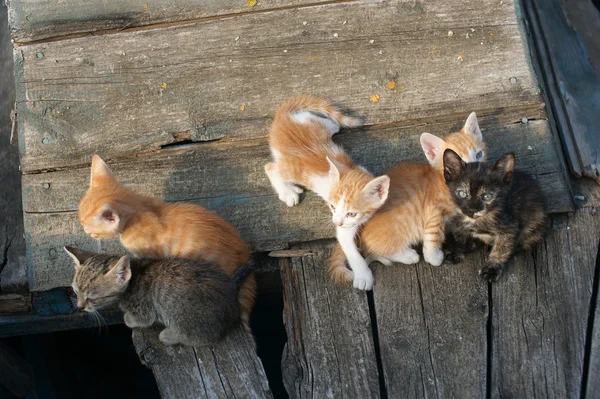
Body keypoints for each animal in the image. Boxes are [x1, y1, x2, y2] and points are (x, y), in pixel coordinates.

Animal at [65, 247, 253, 346]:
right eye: (76, 292)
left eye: (92, 299)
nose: (80, 306)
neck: (133, 277)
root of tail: (231, 291)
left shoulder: (144, 311)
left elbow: (137, 320)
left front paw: (127, 318)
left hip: (181, 314)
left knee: (199, 337)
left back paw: (169, 335)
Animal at [266, 97, 390, 290]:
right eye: (332, 207)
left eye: (352, 213)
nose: (337, 222)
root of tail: (282, 116)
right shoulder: (344, 230)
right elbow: (350, 249)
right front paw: (363, 276)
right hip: (289, 169)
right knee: (271, 168)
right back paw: (288, 192)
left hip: (309, 122)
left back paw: (334, 125)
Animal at [328, 112, 488, 288]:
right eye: (457, 163)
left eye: (479, 155)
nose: (476, 172)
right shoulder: (433, 212)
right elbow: (432, 237)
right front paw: (434, 257)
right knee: (375, 249)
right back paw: (408, 255)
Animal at [442, 148, 548, 282]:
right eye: (462, 194)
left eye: (487, 196)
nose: (472, 209)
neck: (480, 220)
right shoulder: (461, 222)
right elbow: (462, 237)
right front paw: (458, 250)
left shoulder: (509, 229)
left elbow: (500, 249)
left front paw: (492, 268)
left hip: (535, 224)